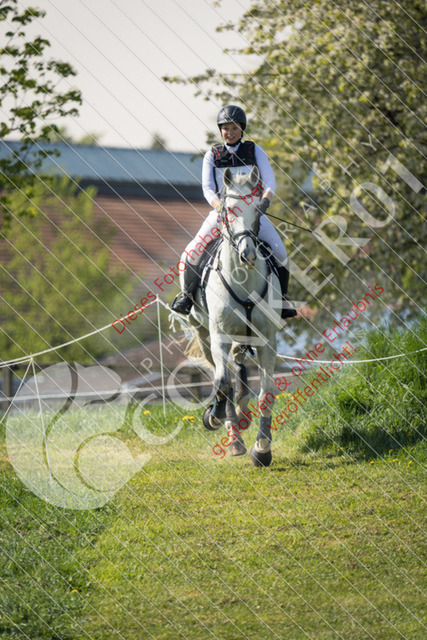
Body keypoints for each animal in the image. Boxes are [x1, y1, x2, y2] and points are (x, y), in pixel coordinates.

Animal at [183, 166, 283, 467]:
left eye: (258, 210)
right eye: (227, 210)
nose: (247, 254)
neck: (243, 279)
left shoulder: (268, 340)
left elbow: (266, 393)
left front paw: (262, 449)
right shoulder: (219, 337)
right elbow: (222, 383)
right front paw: (215, 417)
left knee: (238, 367)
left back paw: (242, 413)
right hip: (204, 335)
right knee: (221, 376)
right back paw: (232, 432)